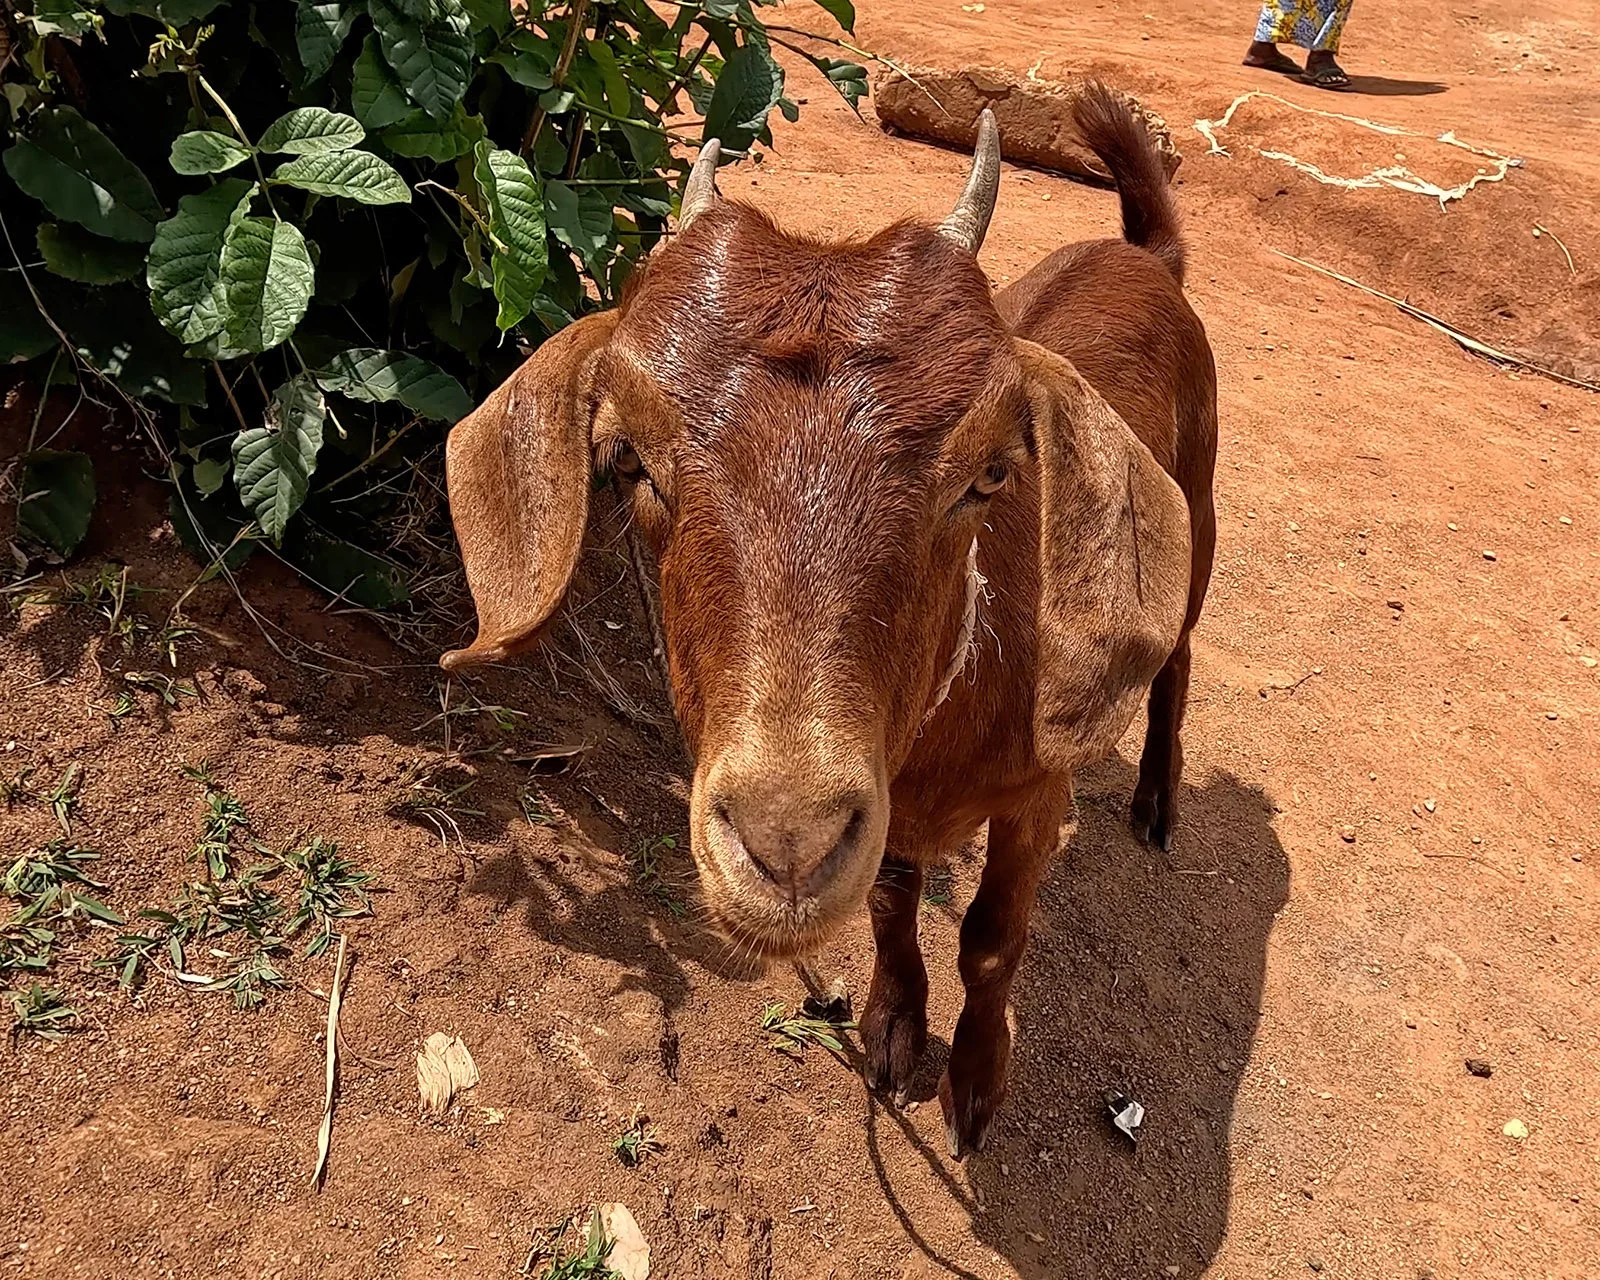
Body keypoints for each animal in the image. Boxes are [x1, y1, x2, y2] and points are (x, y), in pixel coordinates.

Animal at [440, 82, 1218, 1158]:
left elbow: (992, 940)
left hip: (1203, 503)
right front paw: (893, 1030)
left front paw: (975, 1086)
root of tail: (1151, 256)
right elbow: (892, 902)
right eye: (628, 459)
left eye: (989, 474)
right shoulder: (889, 805)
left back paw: (1156, 802)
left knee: (1178, 655)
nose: (787, 842)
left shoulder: (1034, 795)